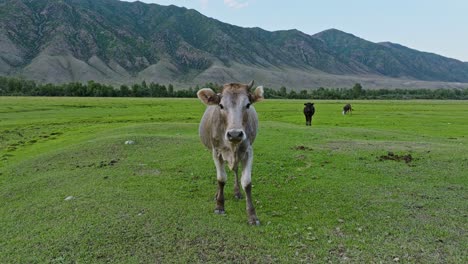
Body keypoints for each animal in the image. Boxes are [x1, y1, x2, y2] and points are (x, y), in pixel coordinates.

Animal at [197, 80, 266, 225]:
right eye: (221, 105)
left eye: (248, 104)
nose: (235, 134)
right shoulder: (216, 152)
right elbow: (221, 179)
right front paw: (219, 205)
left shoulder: (248, 151)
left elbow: (247, 182)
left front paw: (252, 216)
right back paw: (217, 194)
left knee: (235, 170)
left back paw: (237, 192)